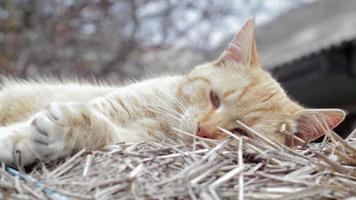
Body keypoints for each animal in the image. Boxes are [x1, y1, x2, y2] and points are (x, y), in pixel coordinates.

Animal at [0, 19, 346, 166]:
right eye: (214, 98)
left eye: (241, 133)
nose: (203, 131)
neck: (164, 120)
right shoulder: (113, 105)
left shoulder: (131, 142)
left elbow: (99, 131)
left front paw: (61, 132)